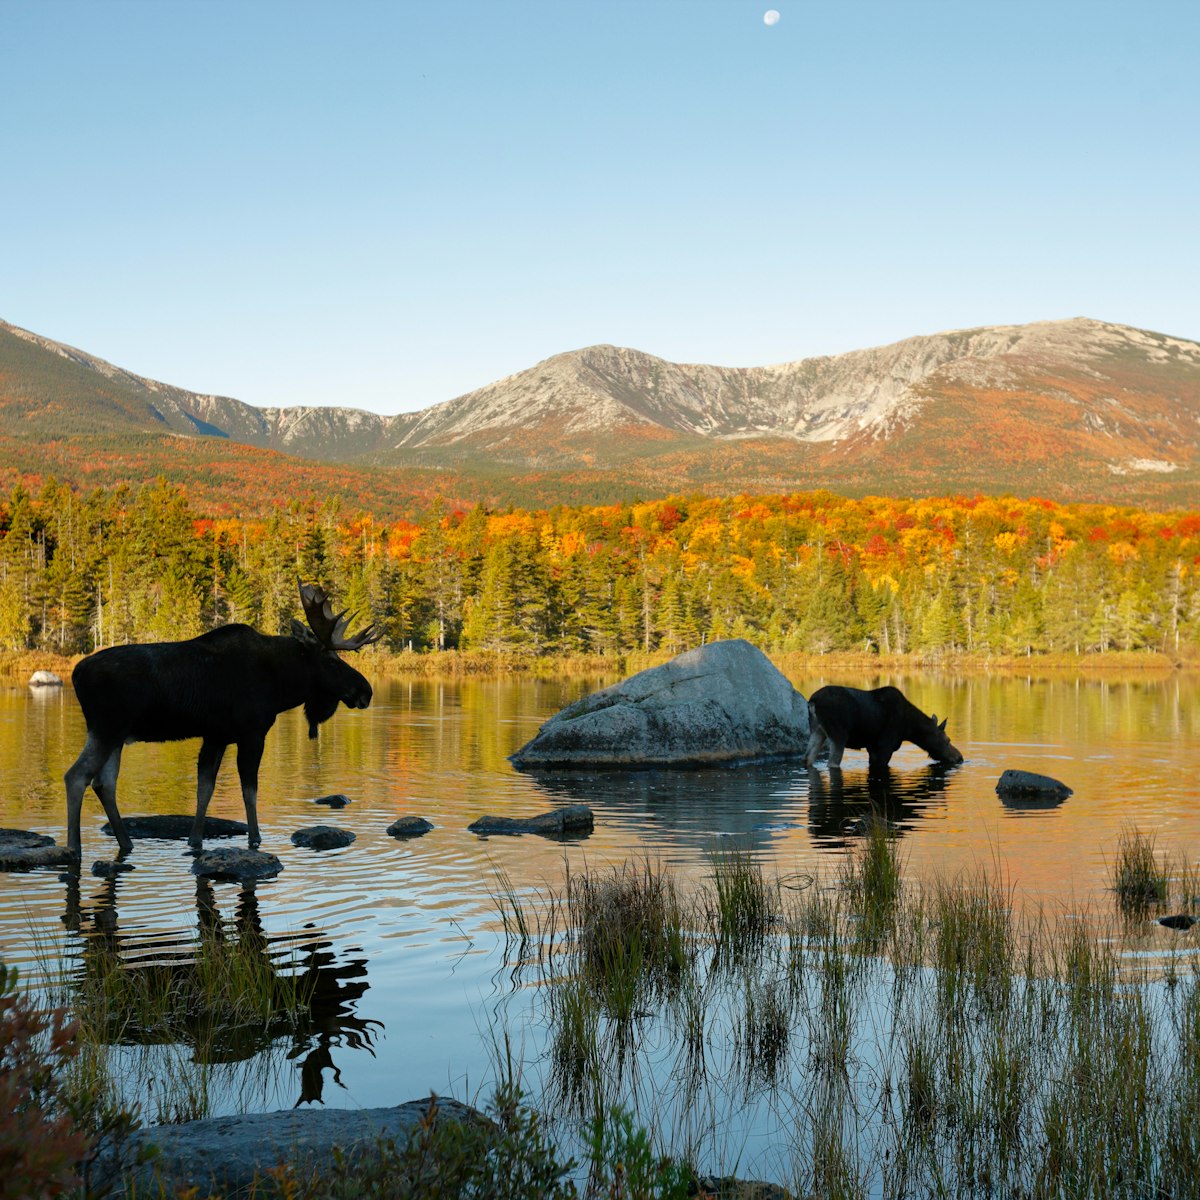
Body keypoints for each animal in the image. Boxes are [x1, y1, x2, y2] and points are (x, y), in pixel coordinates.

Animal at [65, 582, 381, 858]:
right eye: (332, 661)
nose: (366, 690)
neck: (282, 686)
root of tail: (76, 674)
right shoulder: (252, 732)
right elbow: (250, 791)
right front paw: (255, 839)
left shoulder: (216, 736)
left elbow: (205, 789)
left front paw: (194, 840)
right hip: (106, 728)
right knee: (76, 776)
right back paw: (74, 848)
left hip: (116, 736)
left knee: (104, 783)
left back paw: (126, 842)